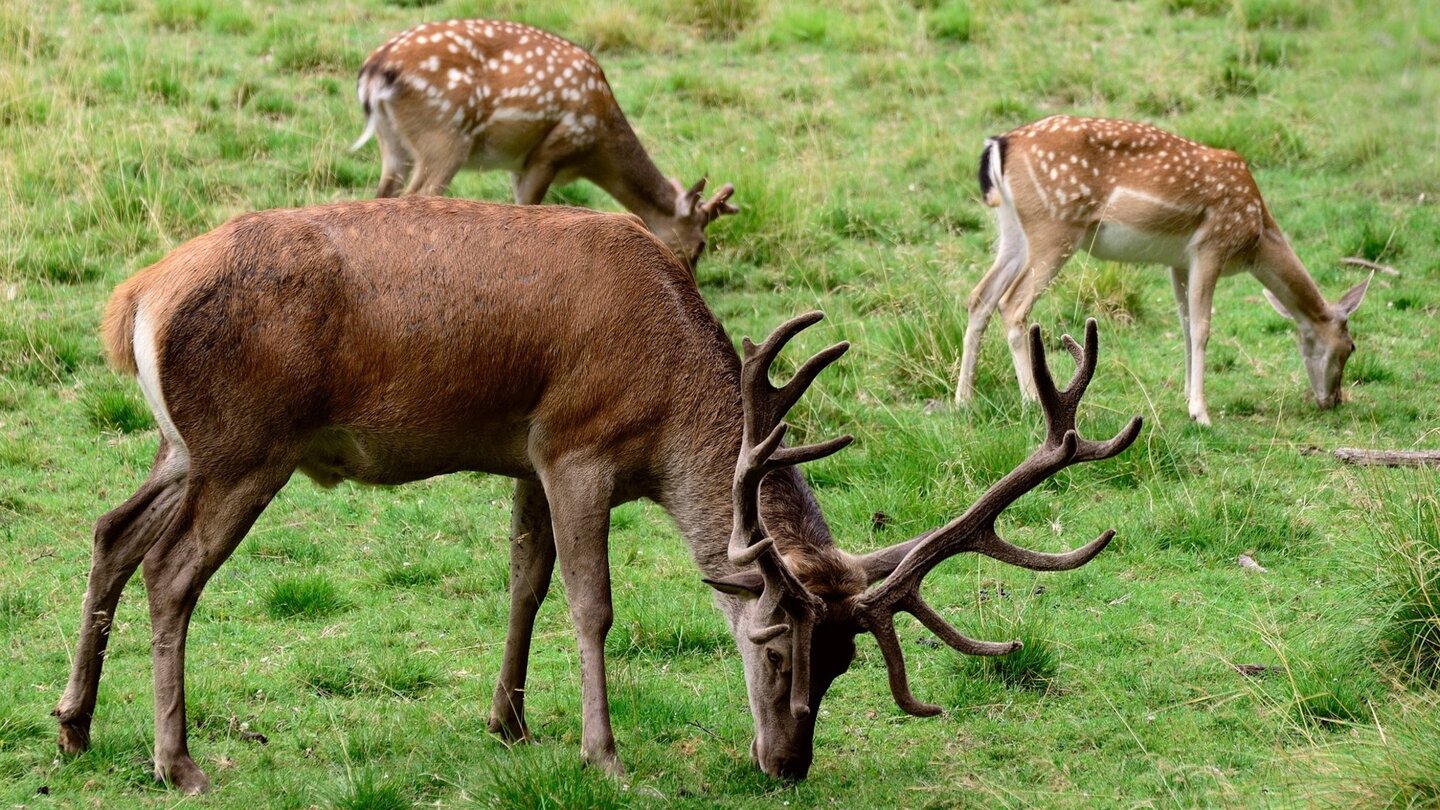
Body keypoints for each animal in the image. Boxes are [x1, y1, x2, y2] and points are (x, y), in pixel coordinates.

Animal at [54, 195, 1140, 794]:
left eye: (843, 666)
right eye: (774, 646)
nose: (788, 763)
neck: (667, 408)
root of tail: (133, 300)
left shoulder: (525, 456)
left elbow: (525, 582)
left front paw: (510, 722)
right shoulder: (576, 447)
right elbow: (590, 604)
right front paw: (603, 753)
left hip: (184, 445)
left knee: (110, 532)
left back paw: (73, 726)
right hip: (248, 445)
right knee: (171, 571)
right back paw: (179, 762)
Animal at [350, 19, 738, 268]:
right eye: (701, 245)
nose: (688, 279)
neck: (597, 146)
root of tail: (375, 71)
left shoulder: (519, 163)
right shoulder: (550, 152)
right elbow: (529, 209)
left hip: (394, 143)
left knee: (382, 193)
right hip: (445, 136)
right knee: (418, 195)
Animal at [955, 115, 1371, 426]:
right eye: (1350, 347)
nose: (1333, 400)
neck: (1256, 236)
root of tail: (999, 144)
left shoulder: (1179, 262)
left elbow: (1185, 326)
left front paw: (1187, 398)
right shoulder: (1211, 246)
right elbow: (1203, 328)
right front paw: (1200, 412)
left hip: (1013, 230)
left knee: (980, 297)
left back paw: (963, 400)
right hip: (1054, 228)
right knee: (1012, 303)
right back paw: (1029, 401)